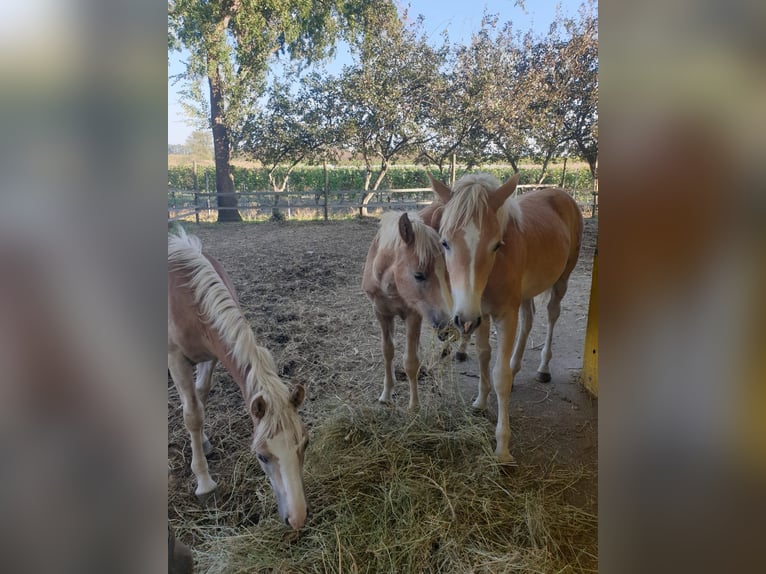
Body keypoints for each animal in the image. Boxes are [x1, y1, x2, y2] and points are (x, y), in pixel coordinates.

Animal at [170, 226, 310, 532]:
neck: (188, 298)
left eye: (305, 444)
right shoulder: (176, 360)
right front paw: (204, 482)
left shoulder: (211, 355)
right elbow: (192, 414)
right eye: (261, 456)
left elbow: (201, 396)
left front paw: (204, 443)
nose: (296, 518)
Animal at [364, 212, 452, 410]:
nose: (445, 327)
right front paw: (386, 395)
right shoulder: (381, 313)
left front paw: (414, 407)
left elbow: (411, 361)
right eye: (418, 275)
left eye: (445, 271)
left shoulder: (414, 316)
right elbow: (387, 351)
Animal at [428, 172, 584, 464]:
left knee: (551, 315)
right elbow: (483, 357)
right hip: (525, 294)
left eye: (496, 245)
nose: (462, 319)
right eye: (445, 242)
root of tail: (563, 194)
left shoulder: (503, 316)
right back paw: (516, 365)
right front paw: (480, 402)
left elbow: (499, 375)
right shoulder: (480, 315)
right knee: (529, 320)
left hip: (561, 281)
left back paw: (543, 368)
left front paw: (502, 447)